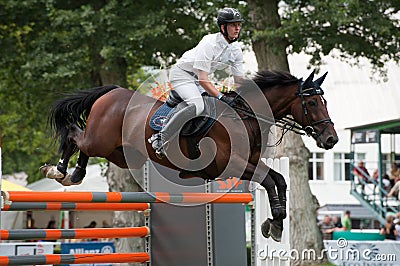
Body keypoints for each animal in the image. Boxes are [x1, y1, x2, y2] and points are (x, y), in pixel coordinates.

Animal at [40, 70, 340, 241]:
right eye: (312, 102)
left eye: (325, 101)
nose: (331, 139)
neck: (246, 117)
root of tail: (111, 92)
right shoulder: (231, 165)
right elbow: (269, 181)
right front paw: (275, 221)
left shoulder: (251, 163)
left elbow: (279, 179)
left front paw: (275, 221)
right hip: (100, 140)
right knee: (74, 136)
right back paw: (59, 171)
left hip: (118, 153)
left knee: (83, 147)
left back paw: (75, 175)